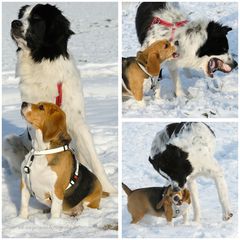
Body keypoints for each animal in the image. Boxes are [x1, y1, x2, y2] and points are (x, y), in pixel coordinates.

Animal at [2, 3, 115, 193]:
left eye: (36, 18)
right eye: (21, 15)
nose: (14, 22)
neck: (40, 63)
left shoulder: (77, 122)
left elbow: (95, 161)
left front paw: (110, 191)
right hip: (9, 141)